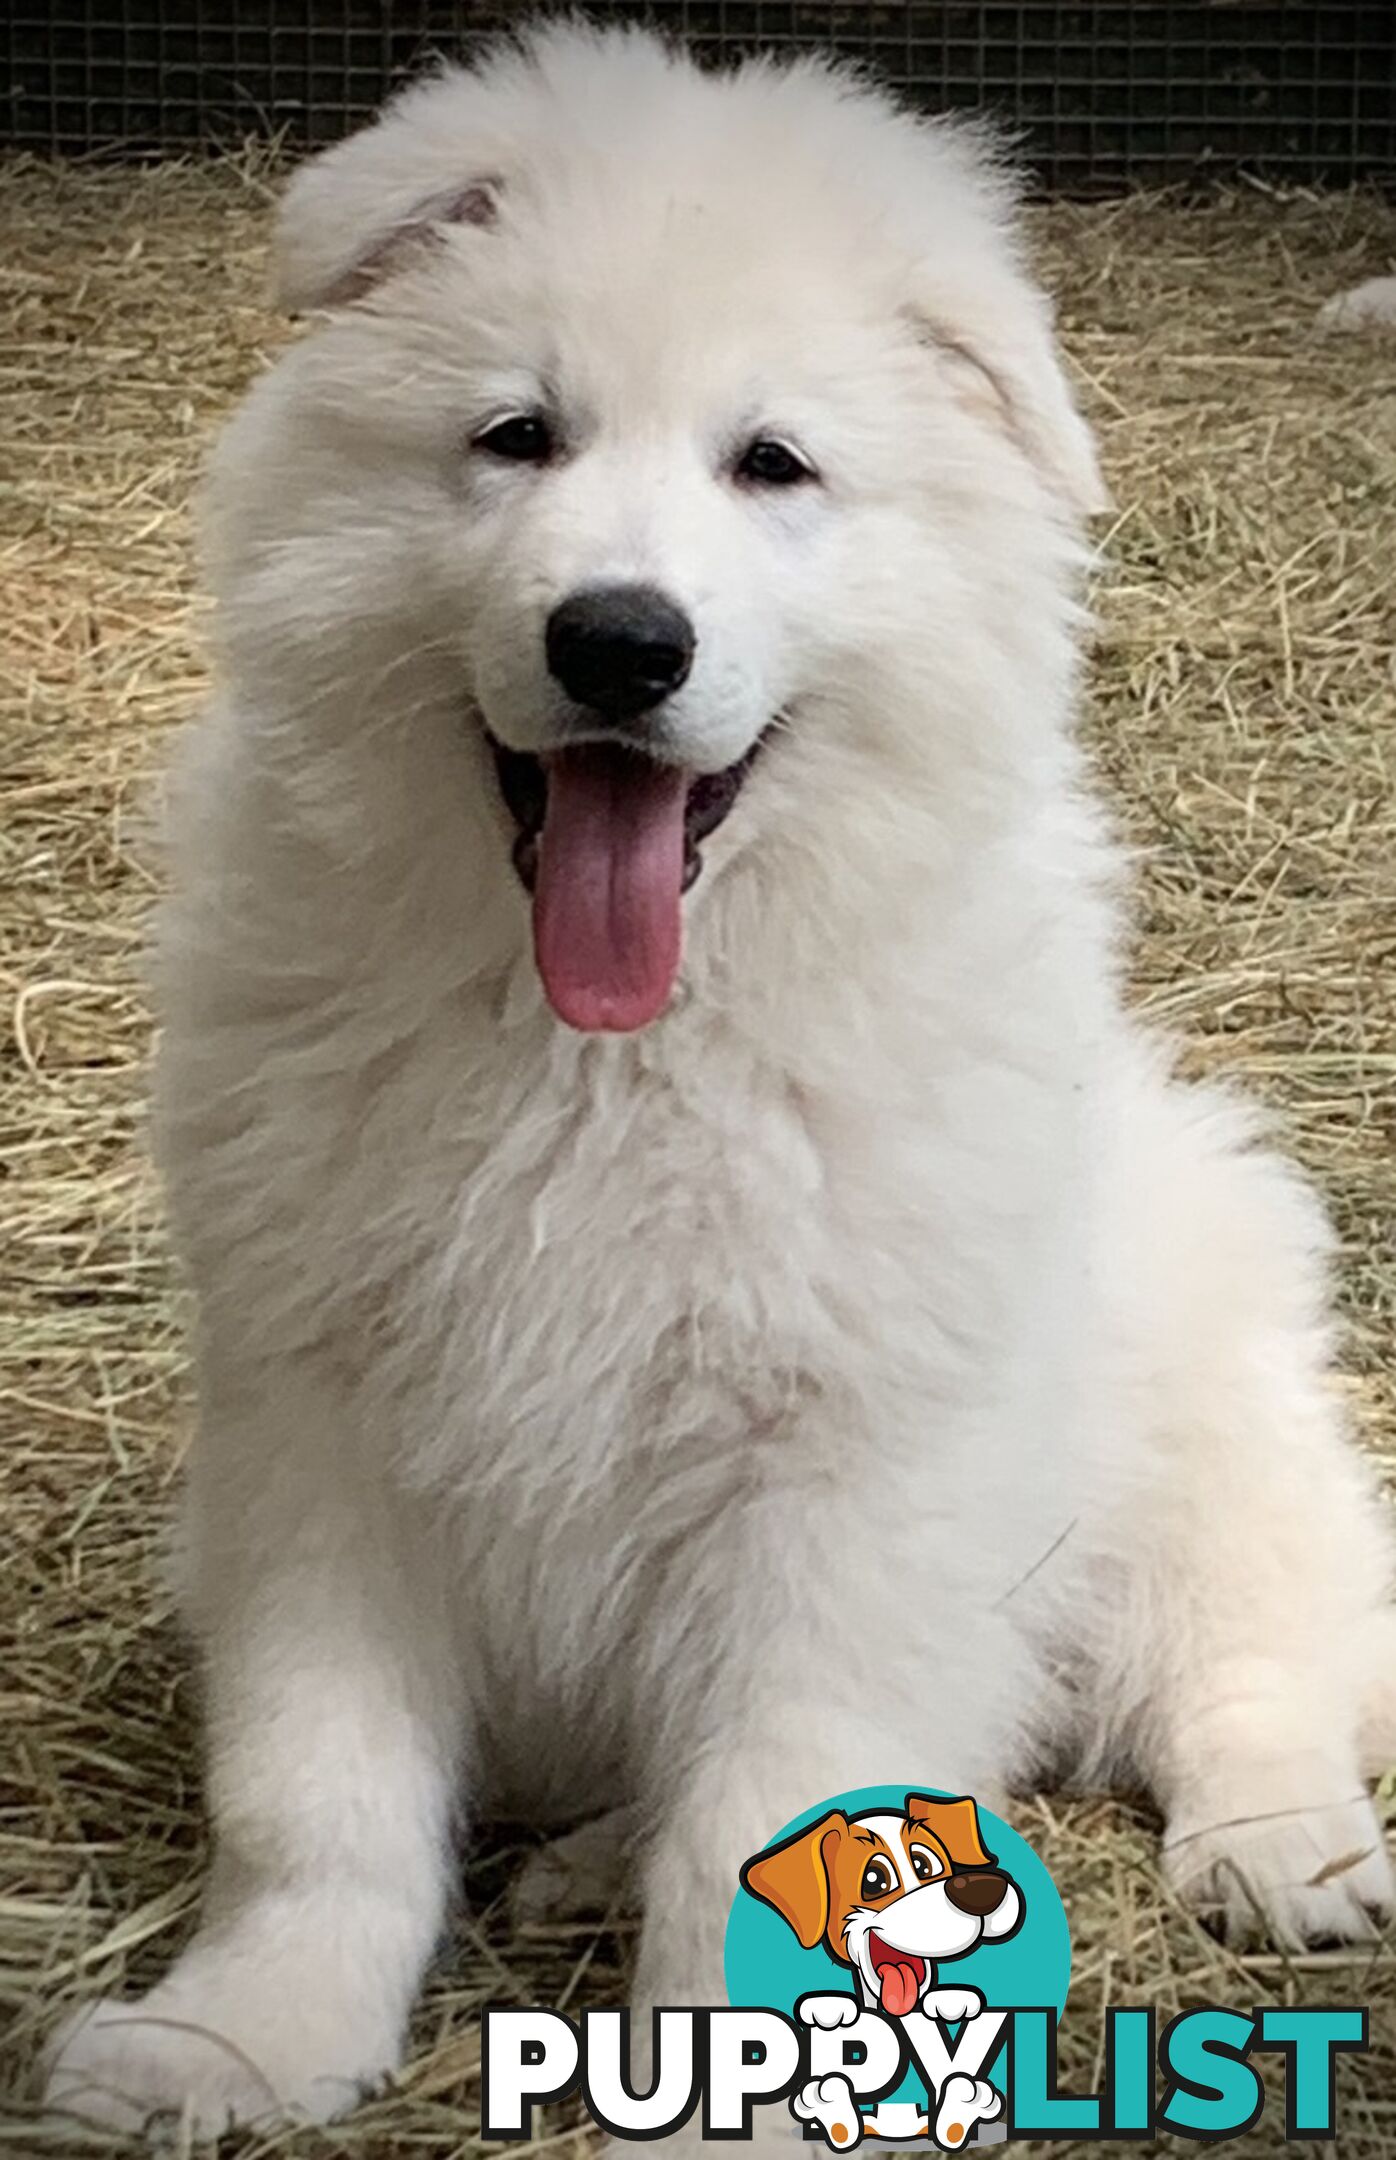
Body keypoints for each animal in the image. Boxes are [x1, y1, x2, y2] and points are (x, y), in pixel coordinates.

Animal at [43, 16, 1396, 2142]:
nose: (617, 641)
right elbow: (316, 1799)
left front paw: (741, 2088)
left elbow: (763, 1812)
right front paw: (237, 2038)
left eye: (773, 465)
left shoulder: (838, 1487)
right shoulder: (319, 1438)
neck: (607, 1055)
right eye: (518, 437)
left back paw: (1285, 1847)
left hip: (1204, 1420)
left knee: (1264, 1651)